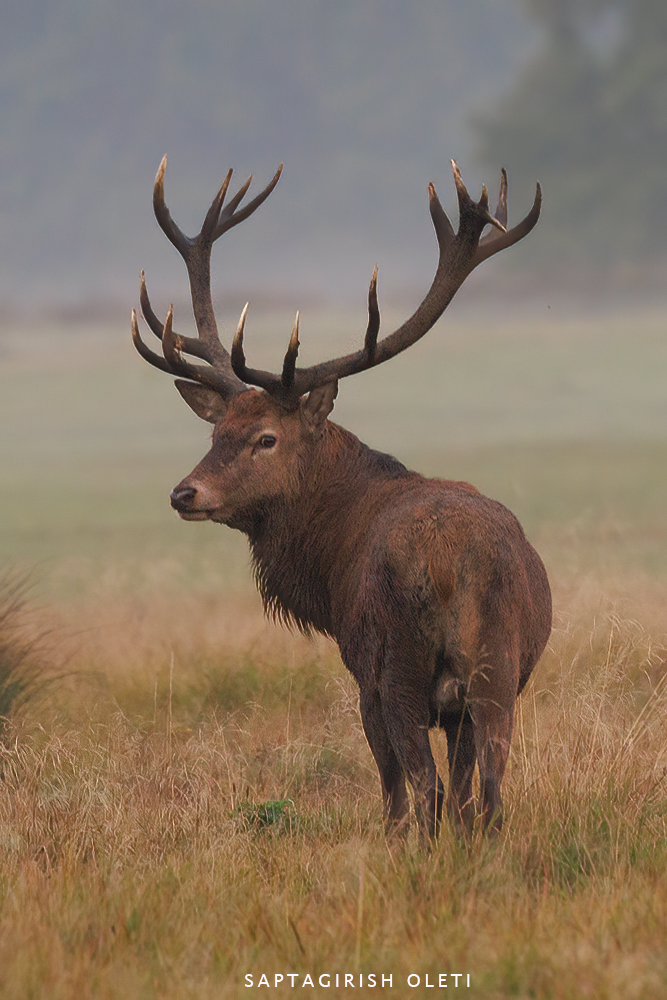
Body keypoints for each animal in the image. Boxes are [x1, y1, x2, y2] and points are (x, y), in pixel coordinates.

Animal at [131, 155, 552, 840]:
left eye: (266, 438)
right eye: (217, 433)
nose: (185, 493)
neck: (325, 570)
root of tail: (452, 567)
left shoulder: (362, 670)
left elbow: (395, 789)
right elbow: (466, 792)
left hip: (398, 665)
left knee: (427, 790)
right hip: (498, 673)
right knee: (485, 796)